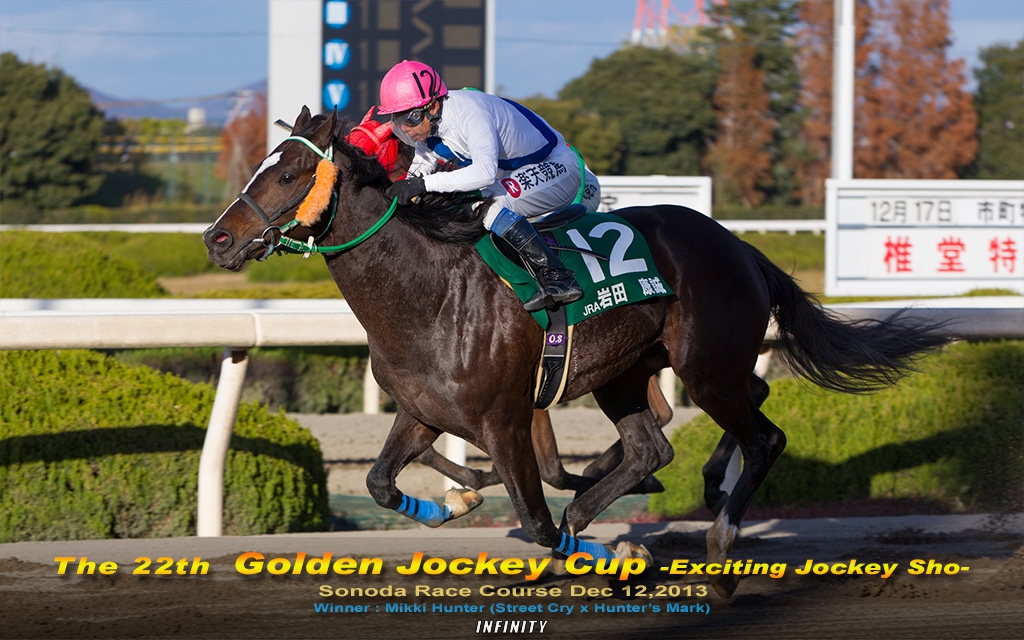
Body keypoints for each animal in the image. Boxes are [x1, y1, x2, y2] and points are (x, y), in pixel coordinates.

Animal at [204, 107, 949, 597]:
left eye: (293, 172)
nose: (217, 237)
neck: (430, 294)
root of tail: (741, 247)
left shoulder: (504, 421)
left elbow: (535, 523)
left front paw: (591, 545)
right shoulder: (421, 411)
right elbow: (381, 483)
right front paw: (455, 505)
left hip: (707, 367)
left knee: (762, 435)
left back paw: (717, 550)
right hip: (628, 371)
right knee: (655, 447)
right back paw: (624, 511)